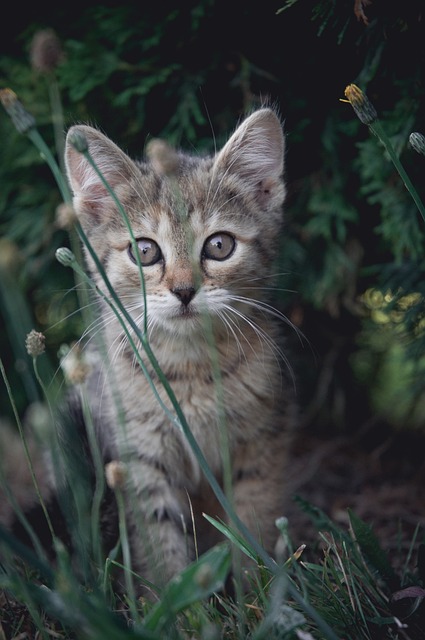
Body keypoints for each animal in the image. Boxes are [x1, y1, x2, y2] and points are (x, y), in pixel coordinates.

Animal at [0, 109, 294, 596]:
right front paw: (181, 605)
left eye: (219, 245)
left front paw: (258, 595)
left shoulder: (259, 446)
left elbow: (253, 524)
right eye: (144, 251)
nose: (184, 290)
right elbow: (159, 546)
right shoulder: (139, 460)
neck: (190, 368)